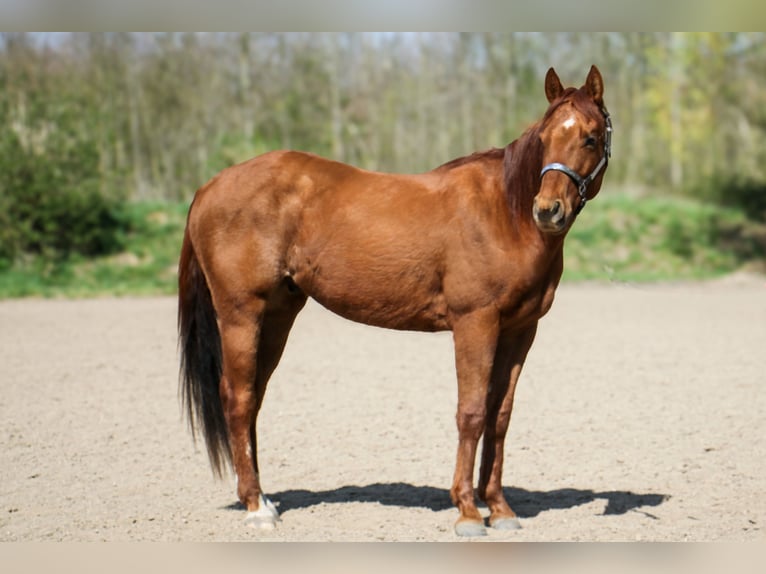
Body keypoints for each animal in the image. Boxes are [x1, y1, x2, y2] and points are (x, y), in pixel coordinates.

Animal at [178, 65, 612, 537]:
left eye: (590, 138)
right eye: (545, 137)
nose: (548, 211)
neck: (505, 213)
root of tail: (208, 187)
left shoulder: (520, 330)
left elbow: (500, 415)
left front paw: (499, 509)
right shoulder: (474, 323)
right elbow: (472, 412)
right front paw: (467, 511)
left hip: (277, 315)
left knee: (253, 398)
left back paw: (262, 496)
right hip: (242, 313)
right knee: (237, 398)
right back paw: (257, 507)